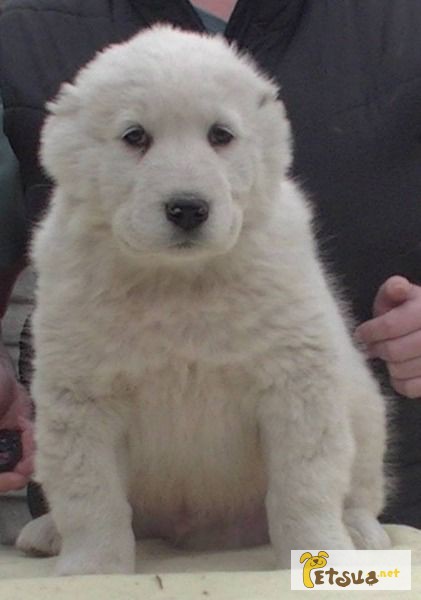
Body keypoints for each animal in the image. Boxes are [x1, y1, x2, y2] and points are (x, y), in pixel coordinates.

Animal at [17, 25, 390, 576]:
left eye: (220, 135)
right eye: (135, 137)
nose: (188, 208)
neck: (178, 280)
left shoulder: (295, 381)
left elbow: (305, 483)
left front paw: (321, 553)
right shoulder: (83, 393)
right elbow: (91, 494)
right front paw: (91, 571)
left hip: (363, 405)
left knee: (361, 486)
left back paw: (362, 532)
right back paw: (45, 532)